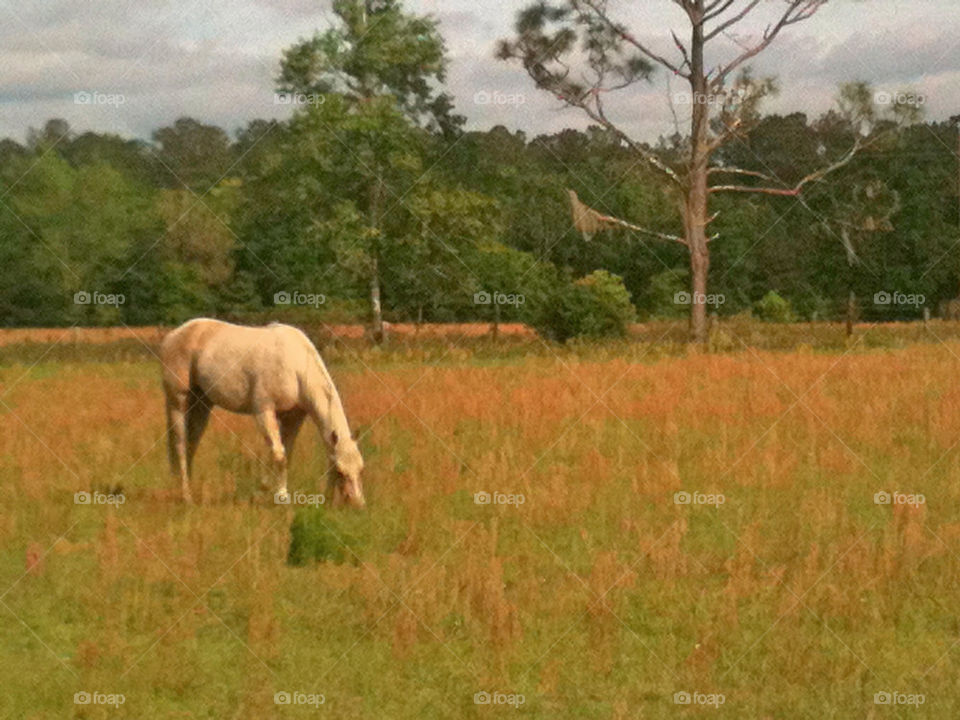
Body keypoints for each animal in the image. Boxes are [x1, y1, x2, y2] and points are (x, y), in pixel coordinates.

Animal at [161, 318, 364, 510]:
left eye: (361, 469)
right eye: (340, 471)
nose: (356, 504)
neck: (295, 366)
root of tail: (173, 335)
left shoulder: (293, 418)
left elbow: (285, 454)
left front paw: (275, 491)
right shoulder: (264, 412)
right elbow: (279, 455)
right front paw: (275, 495)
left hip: (202, 405)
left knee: (191, 445)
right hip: (178, 403)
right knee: (180, 446)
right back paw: (186, 497)